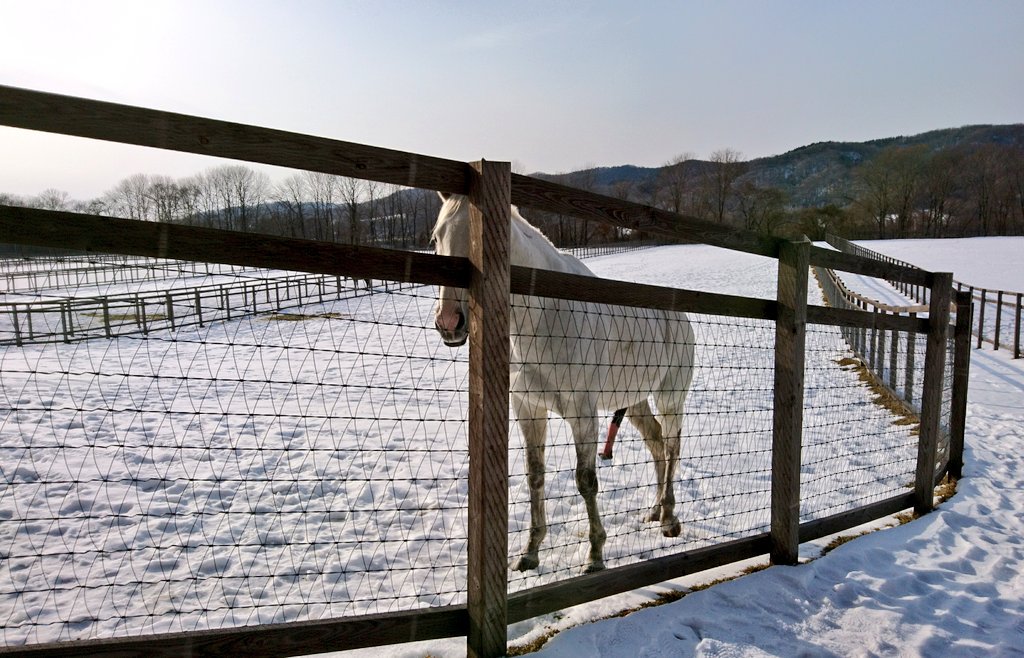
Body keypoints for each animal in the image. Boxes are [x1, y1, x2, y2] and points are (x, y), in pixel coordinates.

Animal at [431, 193, 695, 573]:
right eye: (436, 238)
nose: (449, 322)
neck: (543, 317)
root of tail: (679, 314)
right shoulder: (529, 409)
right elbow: (535, 476)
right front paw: (530, 552)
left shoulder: (582, 415)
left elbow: (586, 481)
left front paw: (595, 556)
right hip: (634, 400)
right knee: (657, 443)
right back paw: (655, 511)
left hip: (670, 397)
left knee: (672, 446)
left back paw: (670, 520)